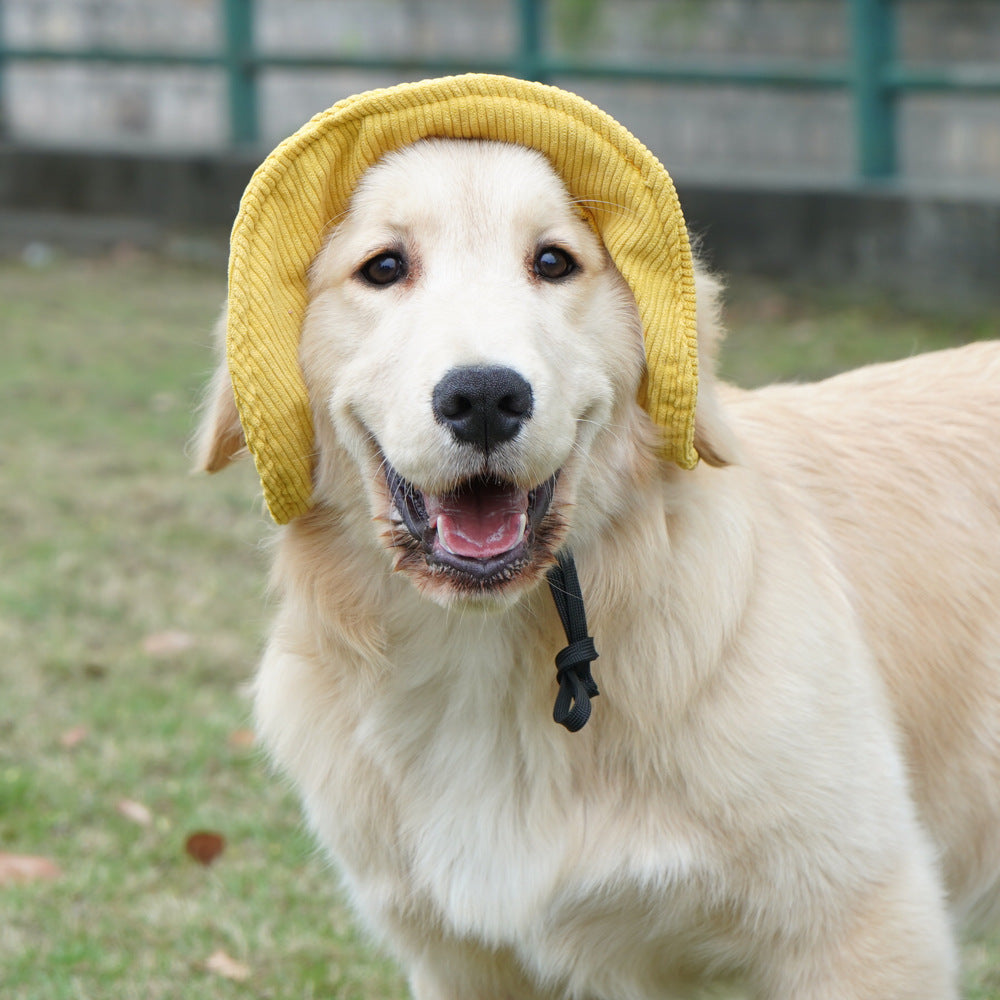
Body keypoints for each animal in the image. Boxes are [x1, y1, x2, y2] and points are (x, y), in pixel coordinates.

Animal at [199, 137, 1000, 996]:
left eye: (554, 261)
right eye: (383, 267)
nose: (485, 397)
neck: (490, 659)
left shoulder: (862, 925)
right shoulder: (464, 963)